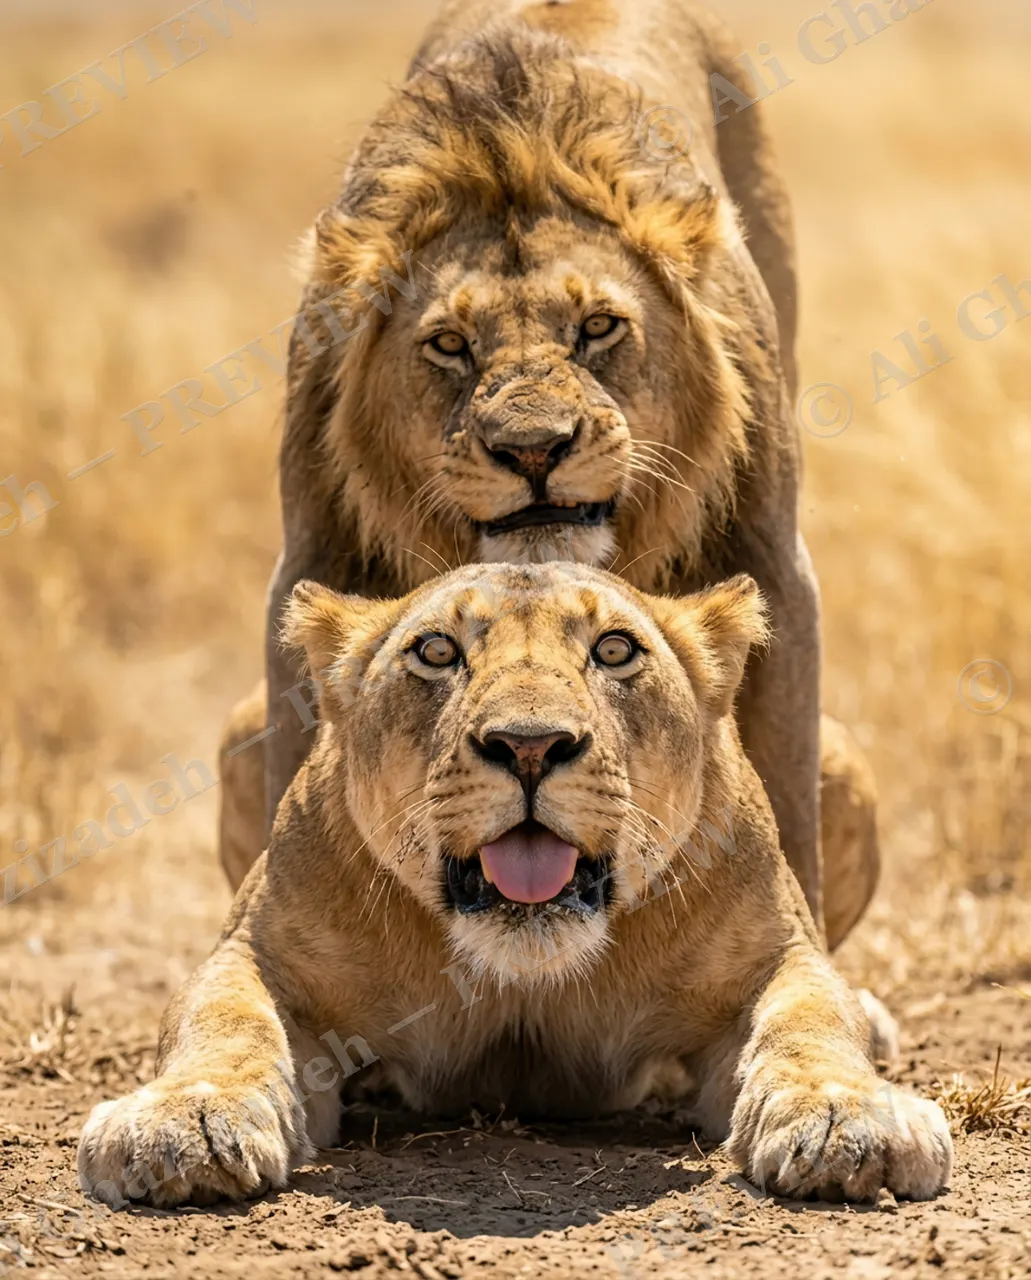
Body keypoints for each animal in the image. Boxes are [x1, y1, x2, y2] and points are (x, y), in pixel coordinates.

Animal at [80, 566, 948, 1209]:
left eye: (613, 649)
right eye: (436, 652)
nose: (529, 745)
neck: (523, 979)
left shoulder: (773, 957)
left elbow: (811, 1019)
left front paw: (848, 1117)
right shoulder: (257, 953)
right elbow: (223, 1022)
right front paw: (187, 1120)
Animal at [239, 0, 842, 937]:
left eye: (596, 328)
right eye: (450, 345)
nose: (532, 448)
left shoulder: (771, 561)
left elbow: (784, 791)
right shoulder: (315, 557)